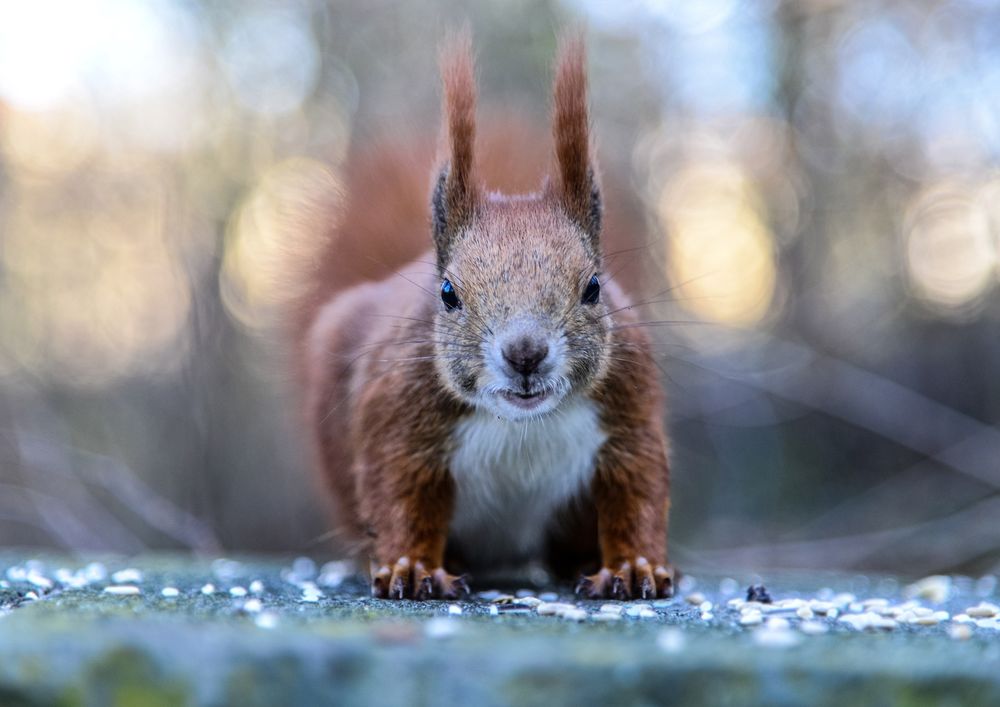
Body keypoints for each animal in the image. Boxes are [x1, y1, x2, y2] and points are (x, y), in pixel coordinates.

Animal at [297, 33, 674, 600]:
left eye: (593, 288)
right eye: (448, 293)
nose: (525, 354)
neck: (522, 423)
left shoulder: (631, 409)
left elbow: (638, 489)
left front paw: (635, 567)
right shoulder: (397, 414)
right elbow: (398, 493)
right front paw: (412, 568)